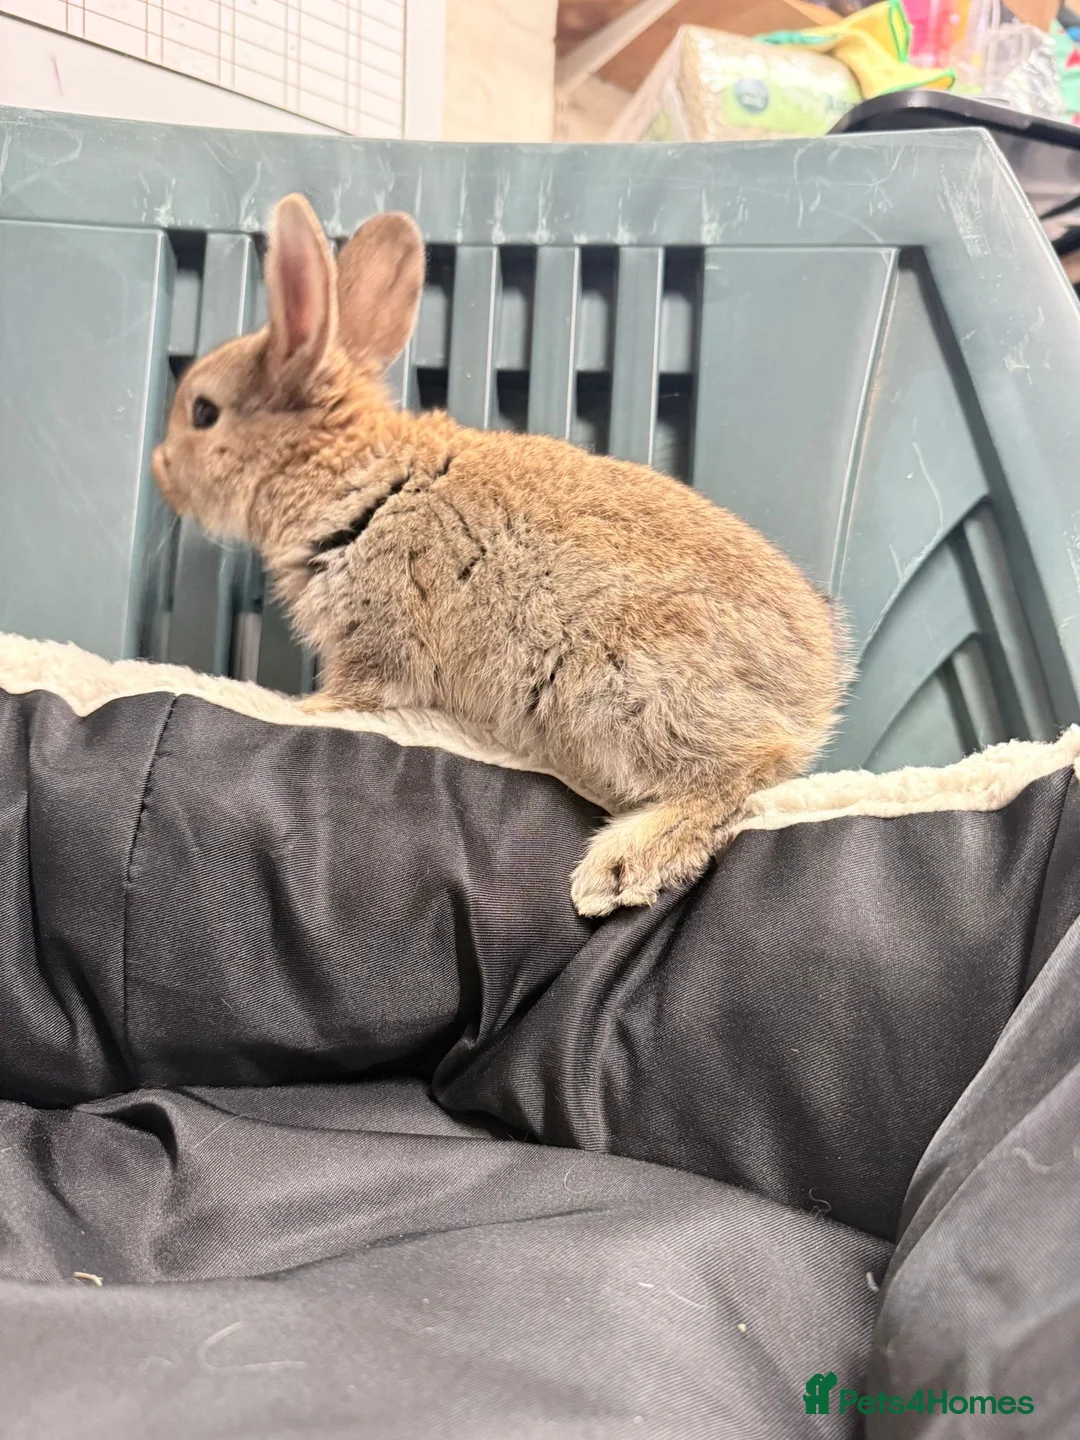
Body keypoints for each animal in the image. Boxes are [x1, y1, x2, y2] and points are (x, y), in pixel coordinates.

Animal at [151, 193, 848, 918]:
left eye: (203, 412)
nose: (158, 469)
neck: (348, 473)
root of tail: (819, 690)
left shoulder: (376, 636)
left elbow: (358, 690)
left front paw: (299, 708)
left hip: (622, 689)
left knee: (746, 768)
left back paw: (617, 867)